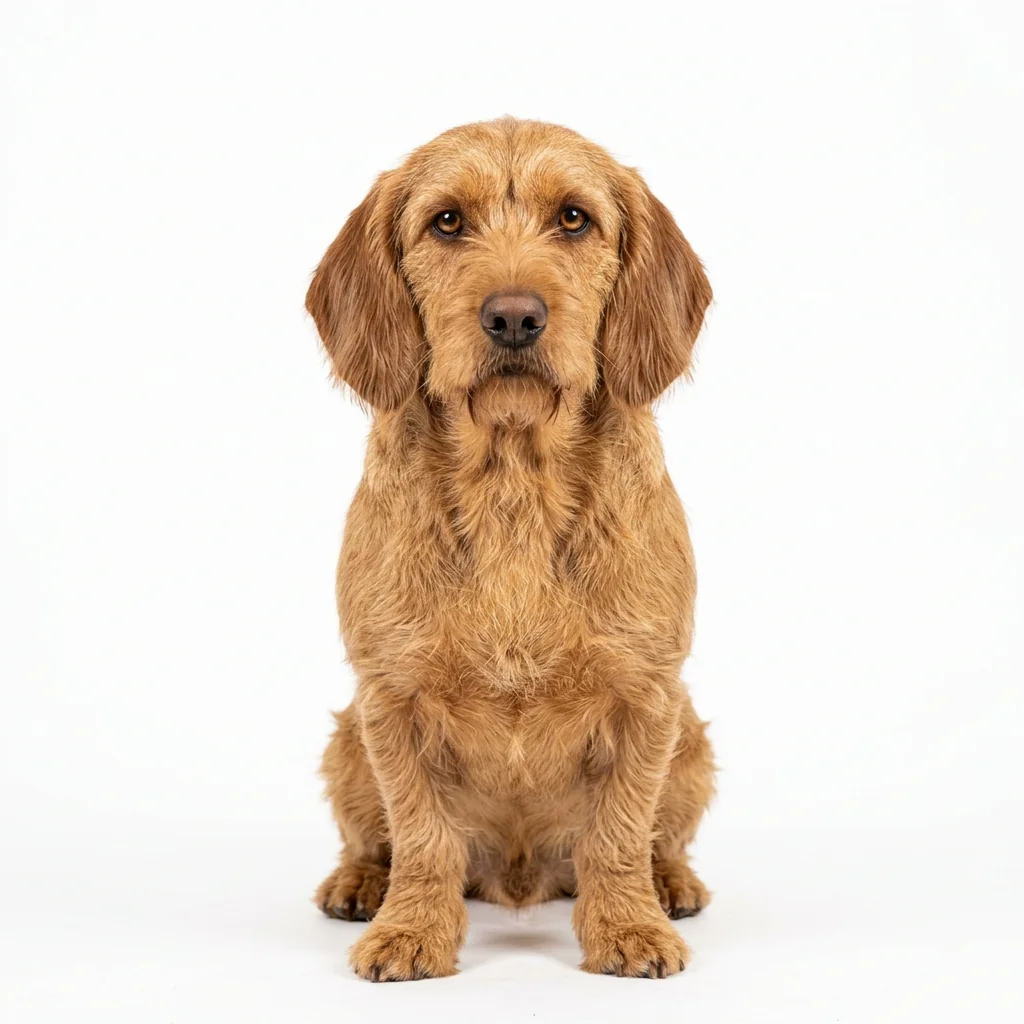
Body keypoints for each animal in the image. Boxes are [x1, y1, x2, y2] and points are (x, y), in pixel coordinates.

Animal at [307, 118, 715, 981]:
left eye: (574, 218)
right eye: (447, 221)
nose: (516, 317)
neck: (514, 482)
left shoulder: (647, 697)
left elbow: (620, 833)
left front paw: (629, 926)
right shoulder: (389, 700)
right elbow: (422, 838)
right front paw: (410, 930)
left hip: (692, 737)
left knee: (657, 837)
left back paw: (670, 882)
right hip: (344, 740)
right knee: (372, 838)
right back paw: (360, 882)